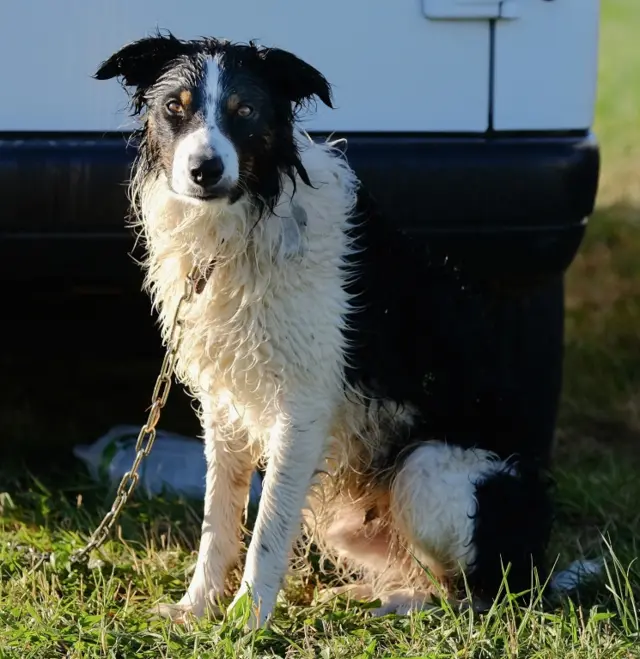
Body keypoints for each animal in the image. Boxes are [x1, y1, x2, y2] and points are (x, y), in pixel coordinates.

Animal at [95, 33, 552, 628]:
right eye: (176, 107)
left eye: (246, 112)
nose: (204, 169)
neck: (242, 228)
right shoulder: (224, 407)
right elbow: (218, 522)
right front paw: (197, 608)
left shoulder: (303, 407)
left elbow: (267, 528)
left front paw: (247, 619)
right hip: (349, 521)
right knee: (423, 575)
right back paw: (367, 595)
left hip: (426, 471)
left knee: (476, 594)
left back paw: (403, 609)